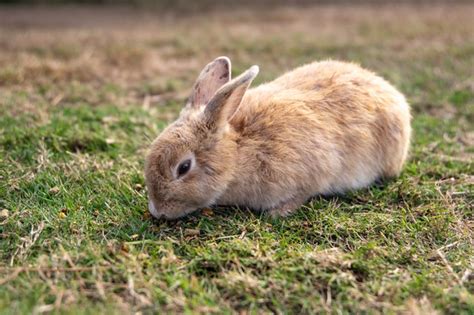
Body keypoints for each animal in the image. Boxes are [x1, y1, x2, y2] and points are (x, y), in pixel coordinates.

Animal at [144, 56, 412, 220]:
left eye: (184, 167)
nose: (157, 211)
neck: (237, 153)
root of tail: (393, 95)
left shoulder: (311, 174)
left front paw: (277, 213)